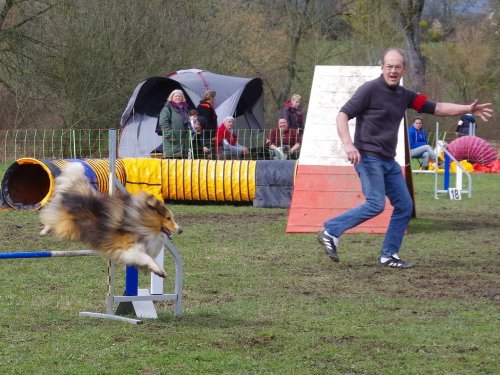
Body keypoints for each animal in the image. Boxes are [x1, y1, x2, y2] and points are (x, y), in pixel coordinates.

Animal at [39, 163, 182, 278]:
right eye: (168, 218)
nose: (180, 230)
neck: (142, 223)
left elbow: (150, 260)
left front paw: (157, 270)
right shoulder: (128, 250)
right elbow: (146, 257)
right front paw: (160, 271)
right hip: (66, 228)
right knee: (51, 218)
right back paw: (43, 231)